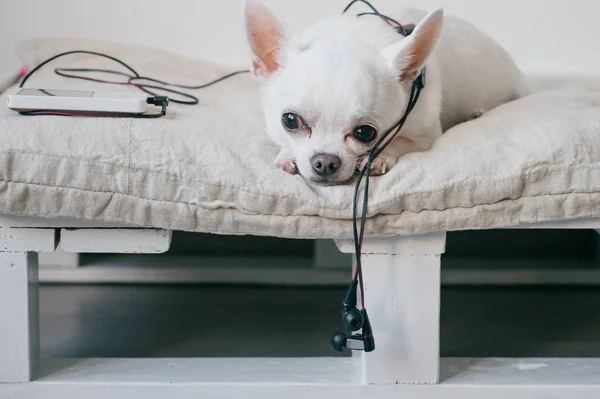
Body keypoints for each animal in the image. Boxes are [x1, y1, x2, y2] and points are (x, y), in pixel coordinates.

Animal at [241, 0, 528, 186]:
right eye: (290, 121)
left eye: (365, 133)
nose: (325, 161)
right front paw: (286, 154)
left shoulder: (425, 136)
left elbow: (400, 141)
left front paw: (379, 157)